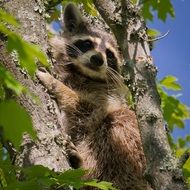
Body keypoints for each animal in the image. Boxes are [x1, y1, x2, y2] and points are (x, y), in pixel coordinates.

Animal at [37, 2, 151, 190]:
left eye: (110, 54)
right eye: (87, 43)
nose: (97, 59)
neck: (83, 73)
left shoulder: (104, 99)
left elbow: (86, 107)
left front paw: (57, 85)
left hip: (137, 158)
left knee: (117, 122)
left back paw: (83, 166)